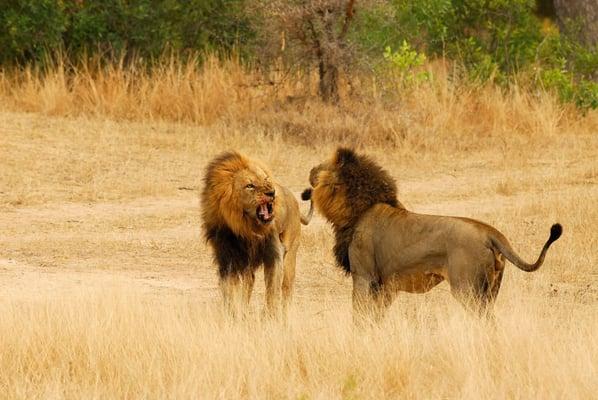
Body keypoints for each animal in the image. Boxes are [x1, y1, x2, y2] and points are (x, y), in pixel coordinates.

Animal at [202, 152, 314, 318]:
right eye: (250, 185)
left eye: (265, 179)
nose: (272, 192)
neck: (246, 228)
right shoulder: (227, 257)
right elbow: (230, 289)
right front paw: (233, 313)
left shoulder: (274, 254)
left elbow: (272, 289)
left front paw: (270, 316)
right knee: (249, 282)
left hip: (291, 253)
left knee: (286, 286)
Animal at [304, 148, 564, 320]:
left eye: (323, 166)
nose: (310, 169)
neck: (359, 208)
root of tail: (489, 232)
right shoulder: (385, 285)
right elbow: (376, 316)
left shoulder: (364, 277)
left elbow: (359, 315)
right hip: (491, 290)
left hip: (467, 289)